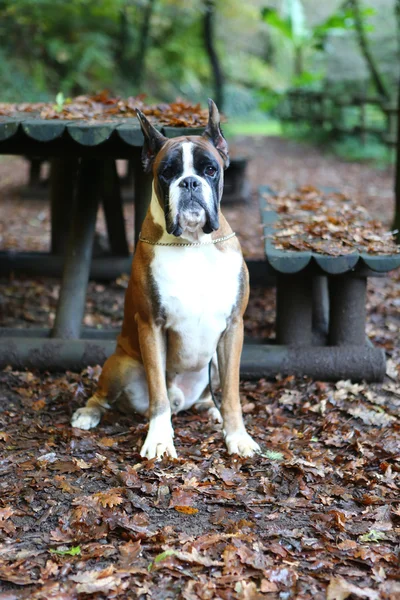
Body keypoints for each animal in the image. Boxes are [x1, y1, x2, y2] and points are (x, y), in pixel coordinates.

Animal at [71, 99, 260, 460]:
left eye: (210, 170)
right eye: (168, 173)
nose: (189, 182)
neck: (193, 244)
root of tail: (182, 399)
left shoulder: (233, 327)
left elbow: (231, 393)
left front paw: (237, 436)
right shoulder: (151, 326)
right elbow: (157, 393)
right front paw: (159, 439)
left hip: (214, 361)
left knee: (209, 393)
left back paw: (209, 409)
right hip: (121, 364)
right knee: (106, 396)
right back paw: (88, 413)